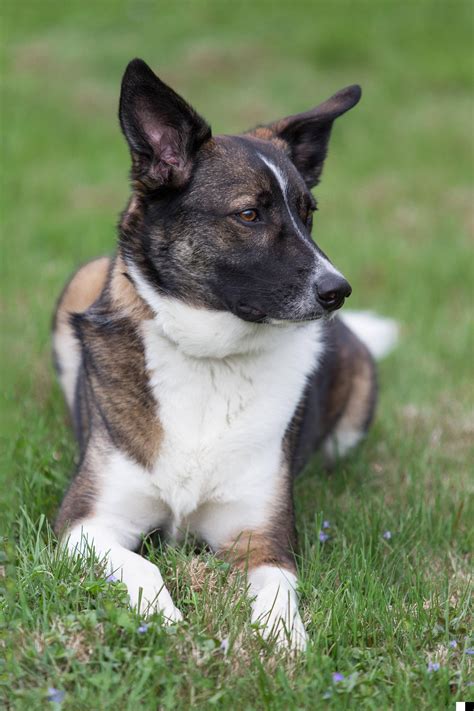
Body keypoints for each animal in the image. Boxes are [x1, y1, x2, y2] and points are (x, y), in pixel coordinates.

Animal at [51, 58, 396, 652]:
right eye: (250, 214)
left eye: (309, 213)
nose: (338, 291)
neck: (212, 358)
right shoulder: (84, 523)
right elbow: (142, 565)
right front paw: (162, 620)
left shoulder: (260, 537)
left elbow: (279, 596)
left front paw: (286, 648)